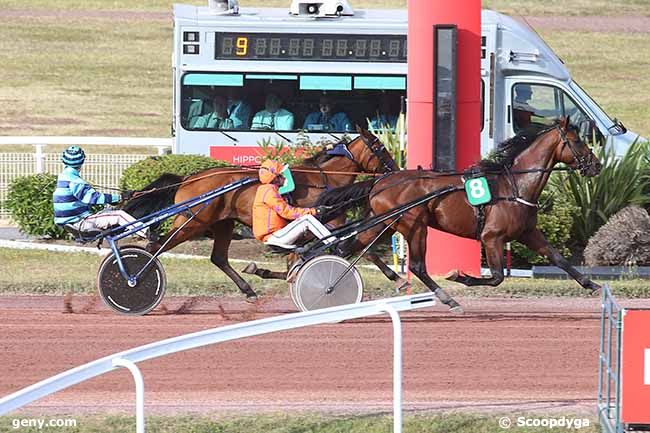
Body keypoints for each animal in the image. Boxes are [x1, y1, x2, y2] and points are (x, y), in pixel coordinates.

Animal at [121, 126, 394, 298]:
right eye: (380, 148)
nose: (394, 167)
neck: (324, 179)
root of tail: (188, 179)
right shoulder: (329, 223)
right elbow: (358, 248)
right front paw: (394, 275)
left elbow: (296, 261)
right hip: (193, 223)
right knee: (155, 248)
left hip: (223, 223)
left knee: (218, 258)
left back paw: (248, 290)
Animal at [316, 118, 600, 310]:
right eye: (577, 141)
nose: (596, 165)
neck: (515, 185)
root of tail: (380, 182)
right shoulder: (492, 237)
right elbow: (497, 277)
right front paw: (459, 276)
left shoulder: (528, 233)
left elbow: (559, 258)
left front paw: (593, 285)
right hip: (413, 225)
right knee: (417, 266)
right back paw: (448, 299)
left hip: (383, 224)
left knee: (349, 248)